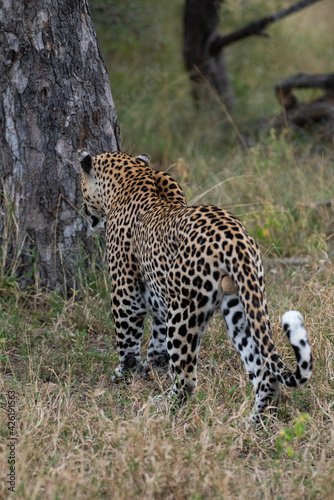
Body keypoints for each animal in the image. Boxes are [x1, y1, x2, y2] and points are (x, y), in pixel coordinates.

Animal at [79, 148, 314, 422]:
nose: (85, 213)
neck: (133, 176)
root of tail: (235, 239)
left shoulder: (126, 292)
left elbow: (127, 339)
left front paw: (126, 373)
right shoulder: (161, 298)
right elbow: (157, 336)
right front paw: (154, 365)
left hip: (185, 311)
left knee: (188, 377)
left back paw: (164, 406)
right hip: (242, 307)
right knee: (263, 370)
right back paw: (255, 422)